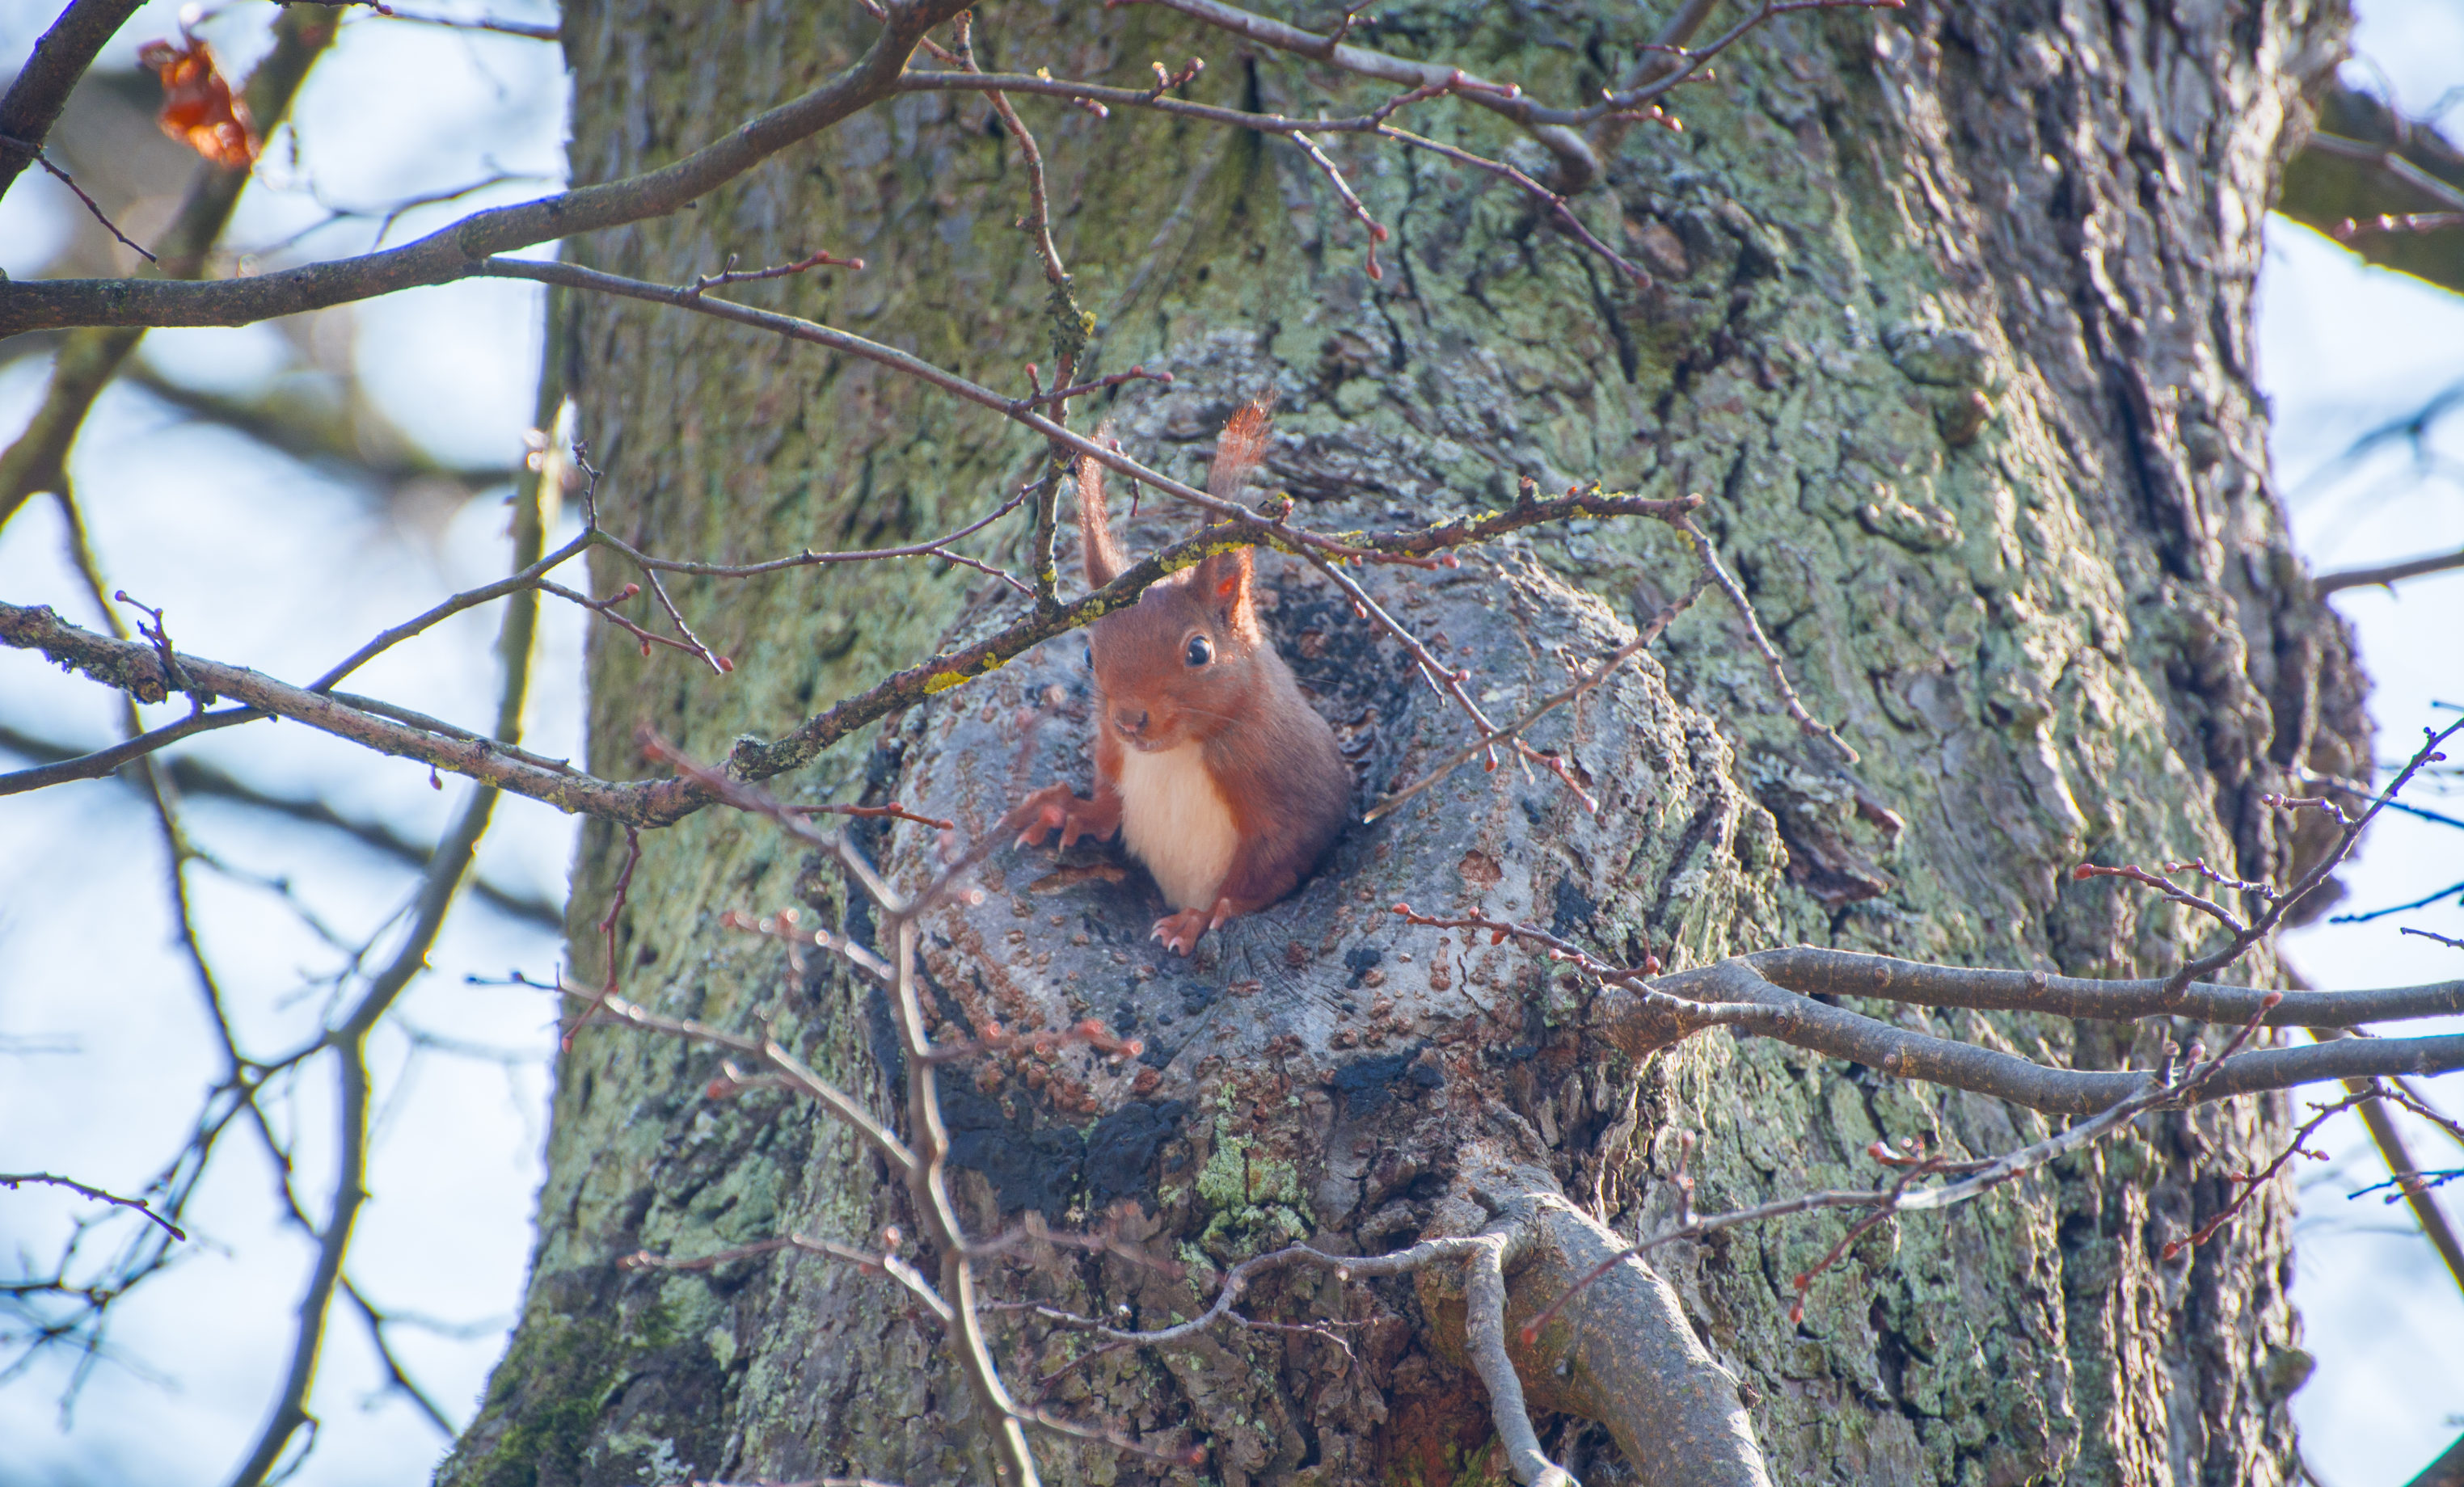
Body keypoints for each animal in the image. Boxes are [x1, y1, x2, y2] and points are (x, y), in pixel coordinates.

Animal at [1013, 400, 1353, 955]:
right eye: (1088, 655)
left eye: (1199, 651)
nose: (1129, 720)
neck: (1176, 755)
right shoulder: (1113, 752)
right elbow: (1108, 808)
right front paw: (1061, 811)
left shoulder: (1293, 790)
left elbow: (1271, 866)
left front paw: (1198, 919)